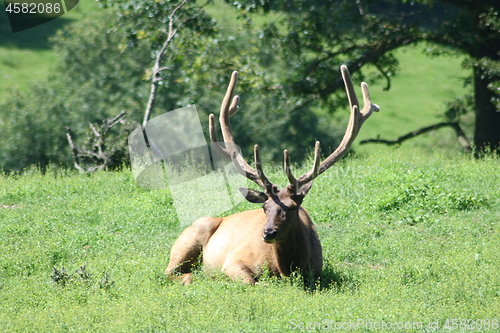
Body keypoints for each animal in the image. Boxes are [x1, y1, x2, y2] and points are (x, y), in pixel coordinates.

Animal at [164, 65, 378, 282]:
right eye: (265, 207)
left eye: (292, 207)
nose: (268, 233)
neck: (286, 270)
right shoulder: (233, 261)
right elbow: (252, 282)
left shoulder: (317, 272)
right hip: (188, 240)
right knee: (170, 273)